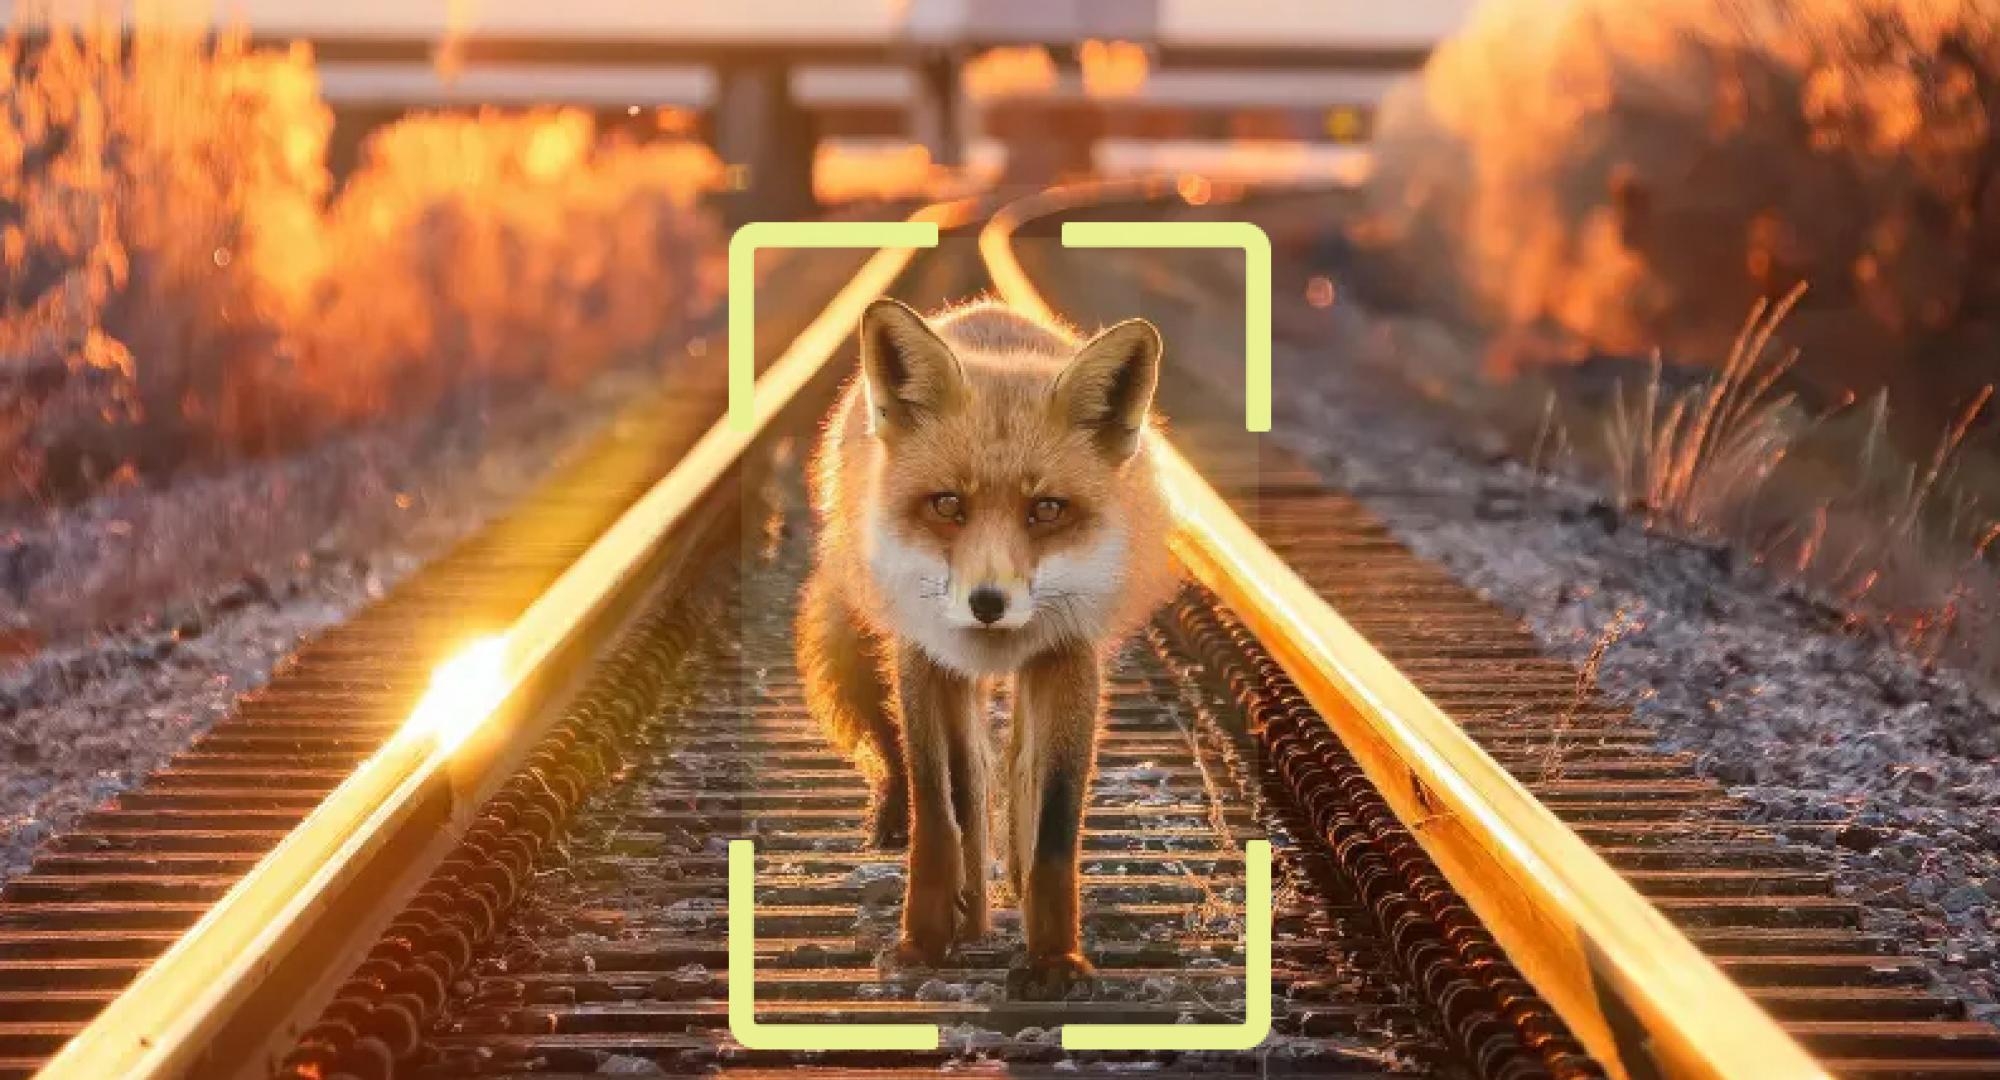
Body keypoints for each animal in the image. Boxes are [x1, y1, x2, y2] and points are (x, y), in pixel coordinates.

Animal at [796, 297, 1179, 997]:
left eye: (1047, 508)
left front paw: (1054, 958)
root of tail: (983, 308)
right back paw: (956, 899)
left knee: (1012, 779)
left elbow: (1053, 822)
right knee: (945, 782)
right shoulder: (923, 655)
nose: (987, 604)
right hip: (862, 647)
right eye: (948, 503)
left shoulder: (1068, 658)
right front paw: (923, 941)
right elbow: (939, 809)